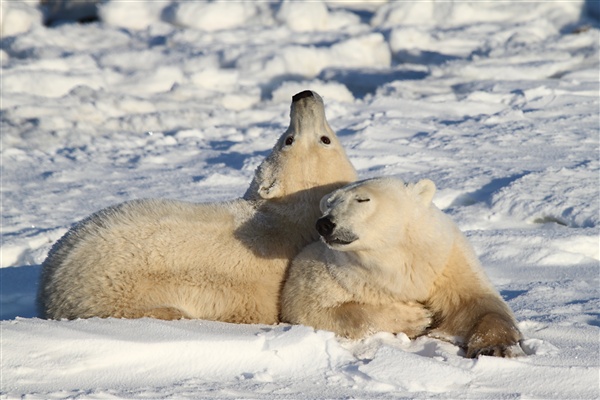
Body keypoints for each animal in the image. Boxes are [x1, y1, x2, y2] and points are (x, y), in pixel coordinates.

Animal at [38, 89, 356, 324]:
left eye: (324, 138)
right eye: (289, 139)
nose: (302, 95)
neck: (286, 222)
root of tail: (48, 293)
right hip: (120, 291)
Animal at [284, 177, 524, 358]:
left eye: (362, 199)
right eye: (329, 203)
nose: (325, 223)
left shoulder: (446, 263)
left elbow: (480, 304)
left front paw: (495, 348)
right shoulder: (331, 272)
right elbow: (308, 308)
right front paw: (418, 318)